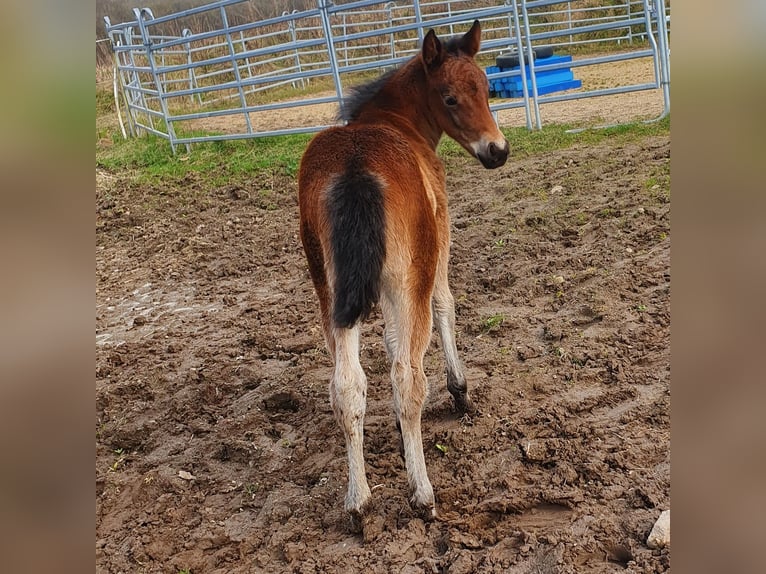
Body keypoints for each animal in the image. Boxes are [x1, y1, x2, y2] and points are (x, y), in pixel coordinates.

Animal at [300, 21, 510, 528]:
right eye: (450, 97)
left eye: (486, 87)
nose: (497, 151)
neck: (396, 122)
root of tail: (356, 168)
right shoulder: (436, 250)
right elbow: (445, 306)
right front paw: (460, 392)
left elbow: (388, 344)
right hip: (408, 279)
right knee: (407, 379)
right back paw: (422, 494)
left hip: (330, 293)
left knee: (347, 386)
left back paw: (358, 502)